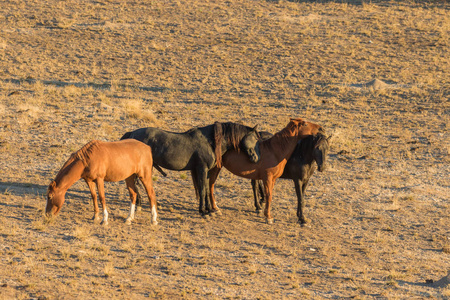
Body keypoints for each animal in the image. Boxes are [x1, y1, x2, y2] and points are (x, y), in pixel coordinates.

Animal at [119, 122, 260, 216]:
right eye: (256, 139)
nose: (256, 159)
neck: (210, 142)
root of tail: (131, 133)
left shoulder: (205, 171)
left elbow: (207, 189)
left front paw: (209, 209)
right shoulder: (202, 169)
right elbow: (202, 190)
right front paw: (203, 211)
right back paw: (140, 204)